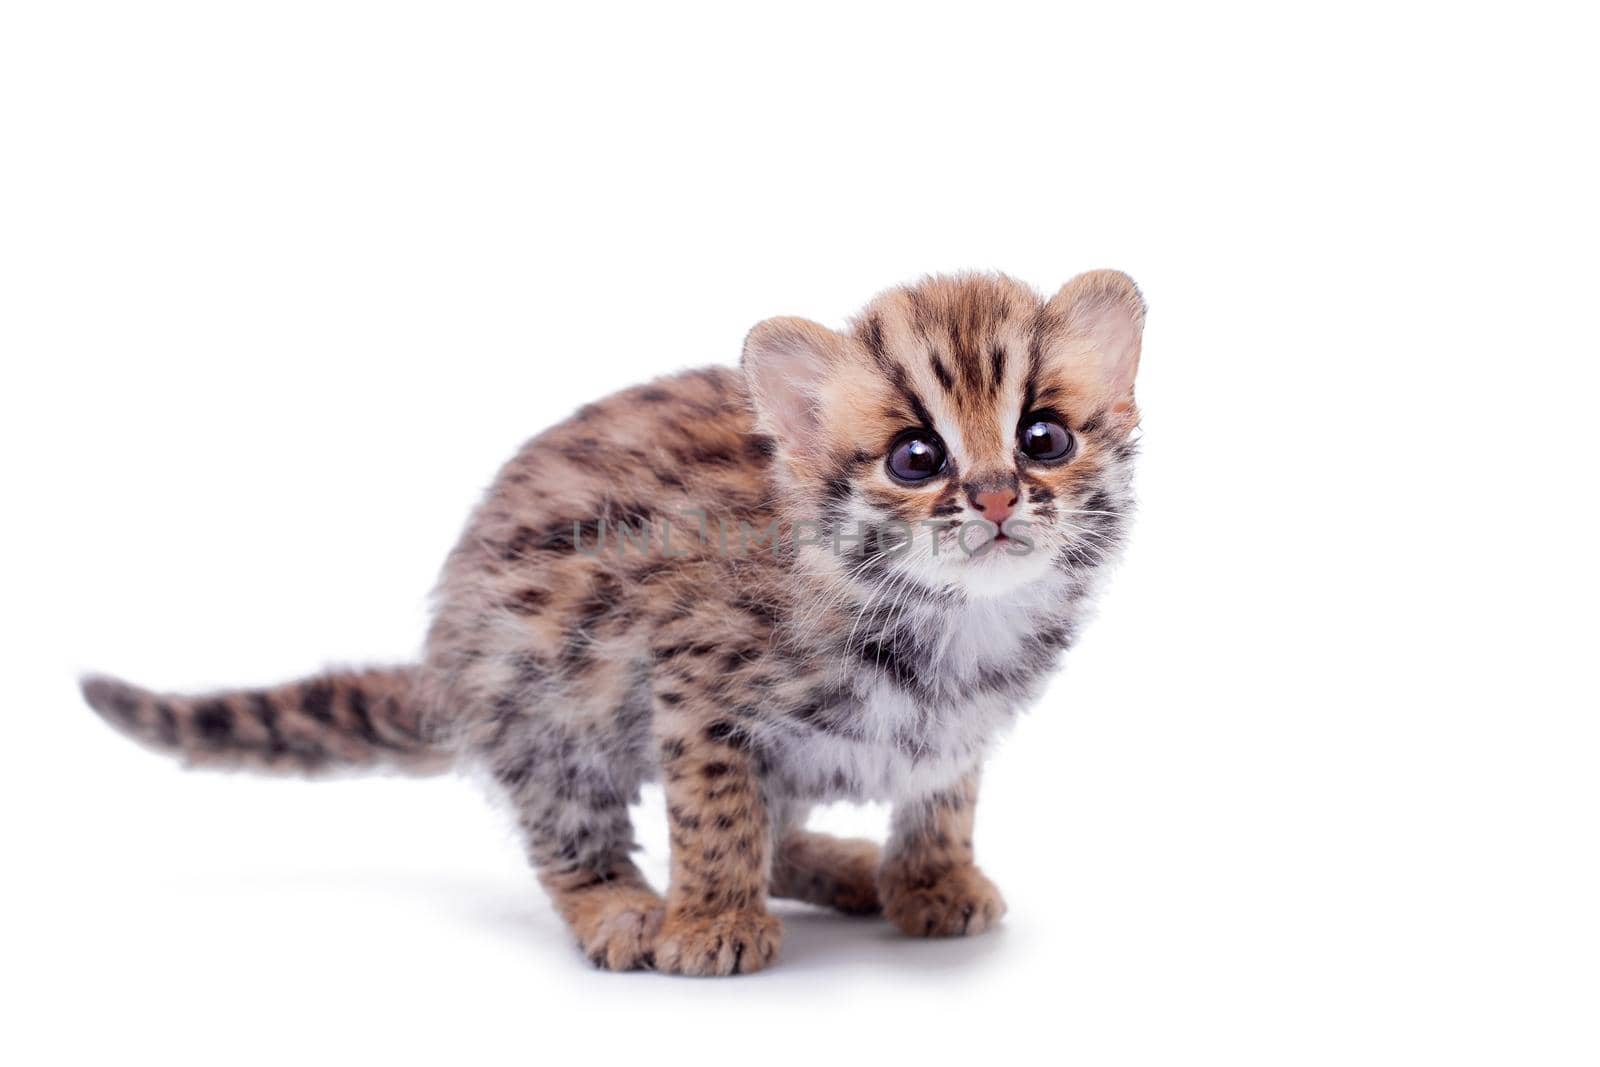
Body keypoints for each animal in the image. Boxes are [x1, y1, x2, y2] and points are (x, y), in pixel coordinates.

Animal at [81, 268, 1145, 979]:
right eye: (915, 457)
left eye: (1043, 438)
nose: (998, 497)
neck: (960, 619)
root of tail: (445, 662)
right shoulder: (690, 682)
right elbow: (714, 813)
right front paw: (709, 921)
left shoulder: (955, 729)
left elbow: (941, 796)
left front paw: (931, 878)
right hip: (540, 702)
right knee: (573, 826)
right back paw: (626, 907)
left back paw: (851, 867)